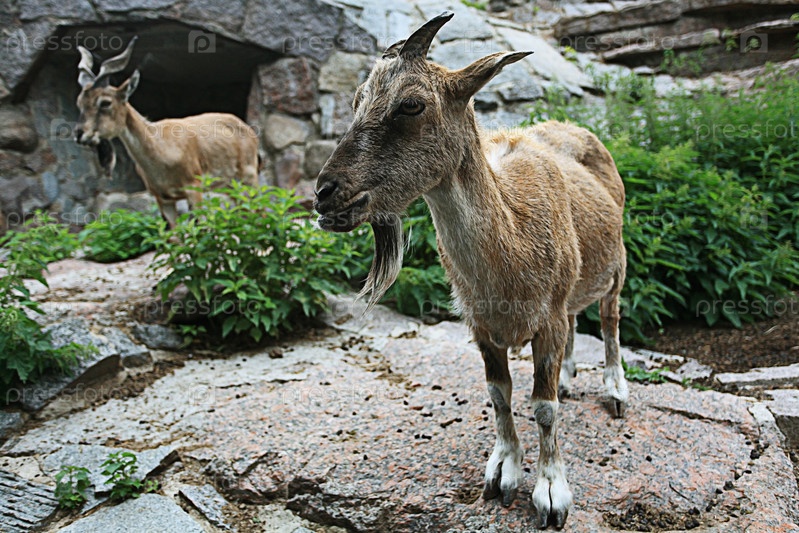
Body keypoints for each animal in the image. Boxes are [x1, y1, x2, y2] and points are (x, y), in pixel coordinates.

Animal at [74, 37, 260, 228]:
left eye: (105, 102)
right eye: (80, 102)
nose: (80, 134)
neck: (161, 147)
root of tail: (247, 130)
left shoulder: (194, 188)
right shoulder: (164, 199)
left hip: (248, 179)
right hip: (230, 187)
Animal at [313, 12, 629, 530]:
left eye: (411, 104)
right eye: (357, 100)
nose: (325, 194)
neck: (511, 249)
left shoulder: (546, 319)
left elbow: (543, 407)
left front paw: (551, 492)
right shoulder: (480, 324)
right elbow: (500, 394)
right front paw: (502, 472)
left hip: (617, 265)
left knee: (609, 320)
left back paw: (616, 390)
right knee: (578, 320)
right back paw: (569, 376)